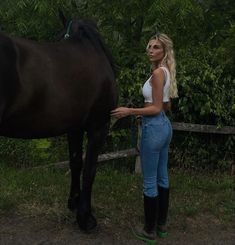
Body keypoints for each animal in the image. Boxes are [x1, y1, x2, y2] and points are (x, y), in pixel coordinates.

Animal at [0, 12, 117, 232]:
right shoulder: (98, 127)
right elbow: (90, 170)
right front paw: (86, 218)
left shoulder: (75, 128)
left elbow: (76, 163)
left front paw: (74, 203)